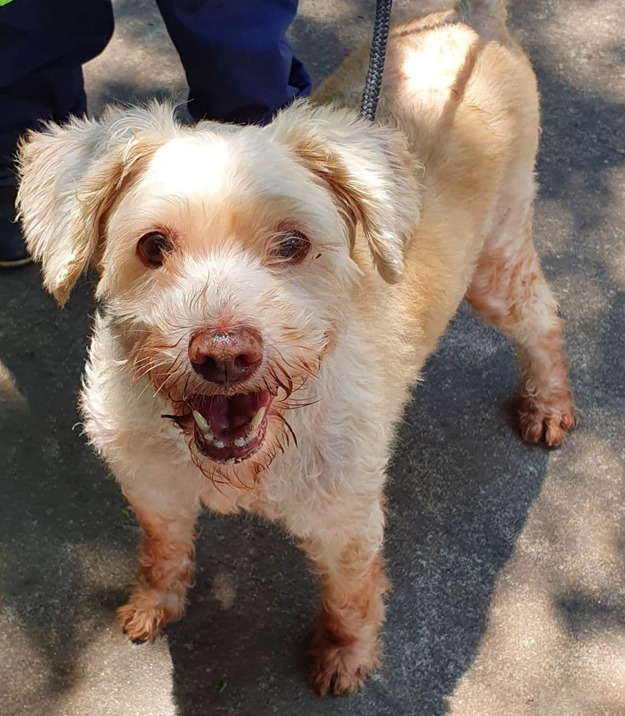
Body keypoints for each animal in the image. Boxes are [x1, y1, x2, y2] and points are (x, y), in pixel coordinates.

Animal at [15, 0, 576, 692]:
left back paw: (548, 403)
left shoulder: (346, 523)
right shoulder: (153, 488)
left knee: (544, 319)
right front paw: (154, 603)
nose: (224, 353)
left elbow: (350, 594)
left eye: (292, 244)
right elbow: (162, 550)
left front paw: (343, 655)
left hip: (497, 265)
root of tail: (470, 19)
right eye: (152, 246)